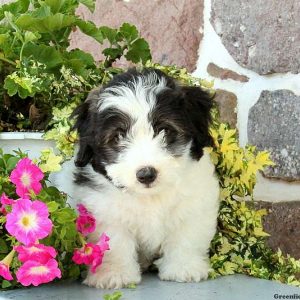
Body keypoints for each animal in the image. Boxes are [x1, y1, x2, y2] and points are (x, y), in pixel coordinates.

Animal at [71, 68, 219, 288]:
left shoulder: (195, 203)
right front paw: (114, 274)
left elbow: (186, 236)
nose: (146, 174)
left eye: (164, 130)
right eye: (118, 136)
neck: (150, 197)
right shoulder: (105, 211)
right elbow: (114, 243)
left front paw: (183, 268)